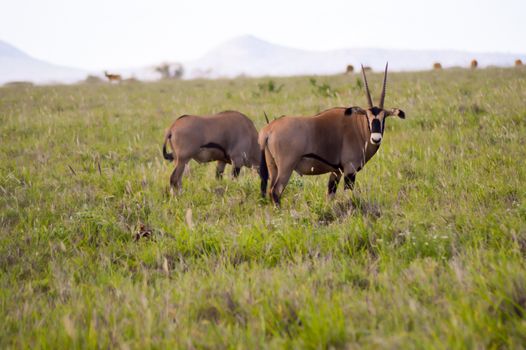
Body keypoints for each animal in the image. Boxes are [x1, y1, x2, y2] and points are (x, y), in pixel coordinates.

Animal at [260, 63, 408, 205]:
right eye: (367, 117)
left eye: (384, 118)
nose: (376, 138)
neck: (358, 128)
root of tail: (269, 129)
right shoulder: (350, 170)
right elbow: (348, 195)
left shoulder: (336, 171)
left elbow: (330, 195)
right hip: (286, 167)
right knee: (276, 191)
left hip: (273, 167)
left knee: (270, 190)